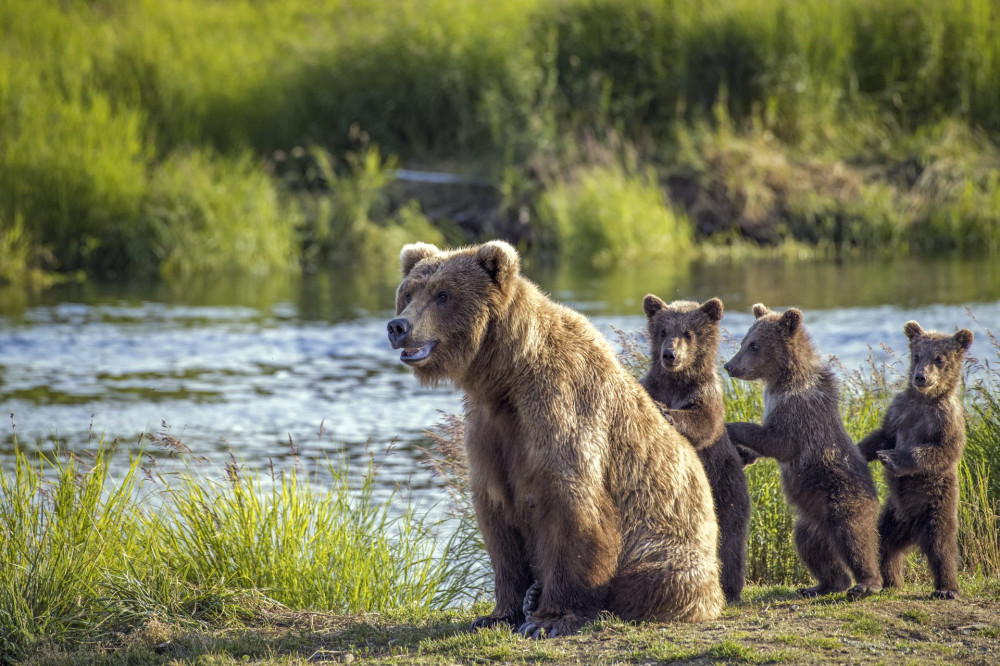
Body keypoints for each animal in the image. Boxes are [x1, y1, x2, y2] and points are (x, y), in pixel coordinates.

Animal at [386, 241, 724, 636]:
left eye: (443, 294)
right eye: (409, 293)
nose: (398, 326)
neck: (506, 375)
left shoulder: (560, 407)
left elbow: (571, 507)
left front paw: (548, 619)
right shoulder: (489, 429)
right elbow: (496, 518)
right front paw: (497, 614)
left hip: (669, 542)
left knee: (654, 577)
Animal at [640, 294, 752, 600]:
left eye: (688, 333)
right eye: (663, 331)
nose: (670, 355)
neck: (676, 384)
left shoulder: (706, 395)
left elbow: (703, 422)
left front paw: (667, 412)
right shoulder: (651, 385)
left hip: (726, 485)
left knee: (730, 535)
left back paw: (729, 587)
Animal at [724, 304, 880, 600]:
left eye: (754, 344)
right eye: (743, 341)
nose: (729, 366)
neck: (782, 379)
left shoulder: (799, 411)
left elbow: (777, 441)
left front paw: (730, 426)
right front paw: (743, 455)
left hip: (842, 496)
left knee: (854, 536)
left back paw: (867, 583)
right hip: (810, 521)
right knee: (812, 549)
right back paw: (821, 585)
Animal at [856, 320, 972, 596]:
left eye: (939, 359)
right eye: (917, 355)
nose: (921, 376)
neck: (924, 400)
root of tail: (912, 530)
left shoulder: (946, 419)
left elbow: (939, 451)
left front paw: (891, 458)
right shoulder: (899, 410)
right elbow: (883, 435)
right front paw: (860, 450)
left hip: (937, 505)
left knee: (941, 546)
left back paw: (946, 588)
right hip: (892, 515)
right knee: (884, 543)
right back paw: (890, 580)